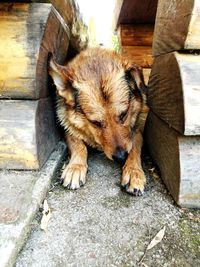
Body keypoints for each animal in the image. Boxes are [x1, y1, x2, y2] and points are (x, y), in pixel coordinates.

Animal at [48, 47, 145, 196]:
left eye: (123, 115)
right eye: (96, 123)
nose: (121, 156)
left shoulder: (137, 130)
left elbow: (134, 148)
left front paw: (134, 172)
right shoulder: (68, 128)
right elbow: (78, 144)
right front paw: (75, 167)